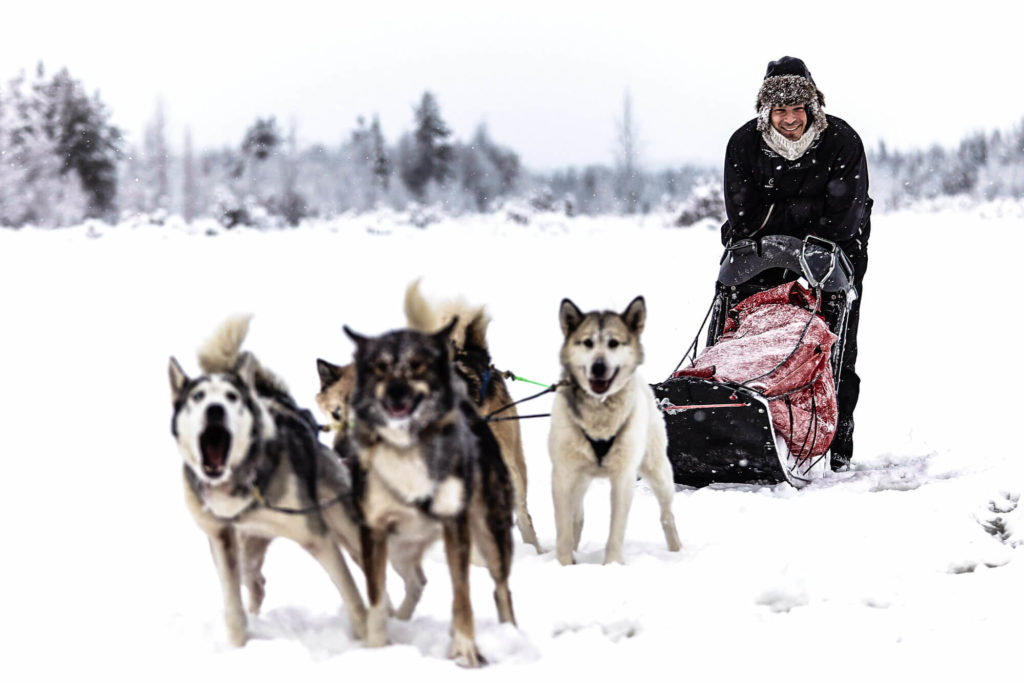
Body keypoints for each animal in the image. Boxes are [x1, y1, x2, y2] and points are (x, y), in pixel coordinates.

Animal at [169, 315, 370, 647]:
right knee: (256, 581)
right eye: (197, 398)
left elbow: (354, 597)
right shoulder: (221, 540)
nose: (215, 410)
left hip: (343, 527)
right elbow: (233, 610)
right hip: (244, 551)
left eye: (232, 398)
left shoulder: (318, 538)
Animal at [342, 321, 516, 667]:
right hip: (399, 547)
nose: (396, 392)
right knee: (415, 581)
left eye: (418, 365)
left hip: (490, 533)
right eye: (380, 367)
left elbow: (462, 593)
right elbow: (376, 595)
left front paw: (465, 648)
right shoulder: (374, 530)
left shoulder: (455, 524)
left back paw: (512, 635)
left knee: (501, 588)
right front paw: (376, 649)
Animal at [548, 296, 684, 565]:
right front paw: (565, 563)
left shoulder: (623, 477)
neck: (599, 415)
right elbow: (564, 528)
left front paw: (611, 564)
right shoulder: (563, 475)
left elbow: (616, 530)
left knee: (667, 514)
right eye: (587, 342)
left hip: (658, 472)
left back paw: (676, 550)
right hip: (580, 479)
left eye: (613, 343)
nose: (599, 367)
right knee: (577, 516)